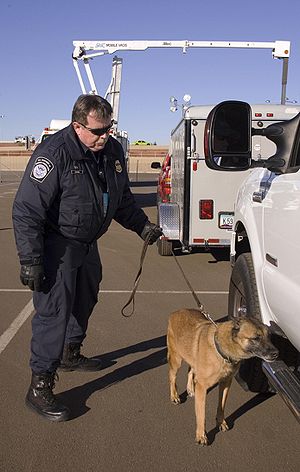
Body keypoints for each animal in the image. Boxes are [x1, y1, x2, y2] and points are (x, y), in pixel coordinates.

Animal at [166, 308, 278, 444]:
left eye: (269, 337)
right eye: (256, 338)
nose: (276, 353)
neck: (221, 350)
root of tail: (176, 312)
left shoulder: (225, 383)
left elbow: (221, 406)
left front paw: (221, 423)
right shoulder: (202, 387)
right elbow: (201, 414)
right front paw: (201, 435)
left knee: (190, 371)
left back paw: (190, 389)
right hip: (176, 360)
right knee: (172, 377)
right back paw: (174, 396)